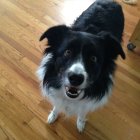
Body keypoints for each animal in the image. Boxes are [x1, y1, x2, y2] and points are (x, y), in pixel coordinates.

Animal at [36, 0, 125, 132]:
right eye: (67, 52)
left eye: (93, 58)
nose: (75, 78)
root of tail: (112, 2)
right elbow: (57, 104)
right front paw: (53, 115)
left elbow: (83, 111)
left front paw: (81, 123)